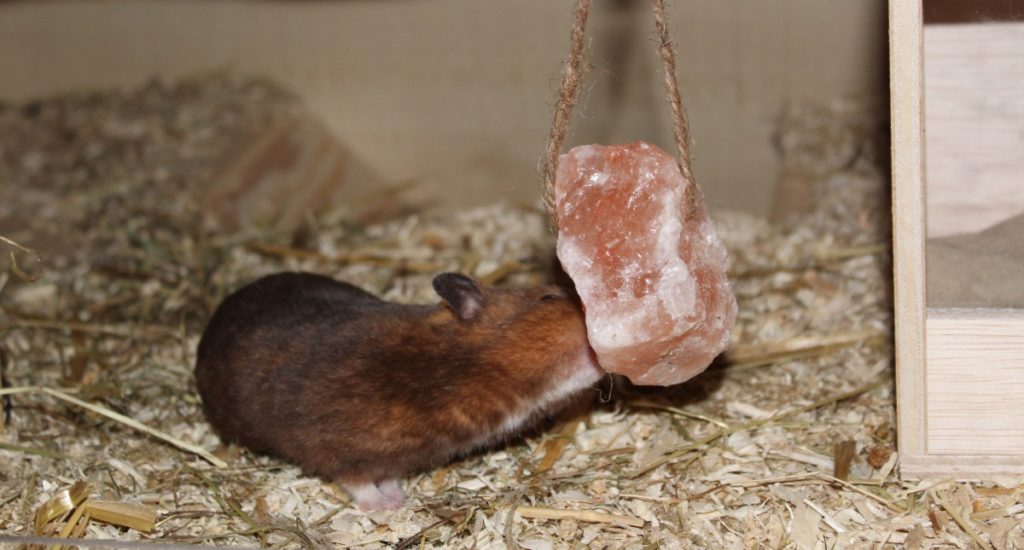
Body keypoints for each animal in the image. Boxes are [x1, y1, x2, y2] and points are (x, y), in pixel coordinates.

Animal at [195, 271, 603, 510]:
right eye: (548, 298)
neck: (453, 368)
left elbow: (387, 475)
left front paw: (400, 498)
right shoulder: (335, 447)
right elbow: (357, 481)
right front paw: (389, 509)